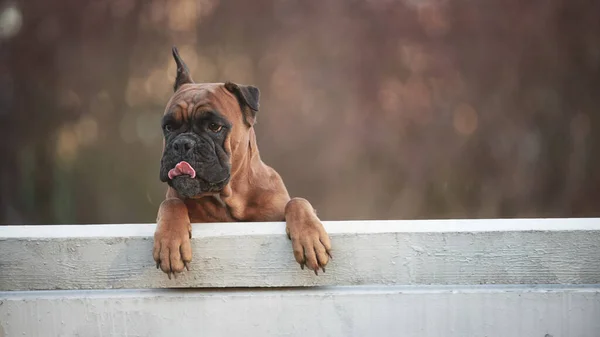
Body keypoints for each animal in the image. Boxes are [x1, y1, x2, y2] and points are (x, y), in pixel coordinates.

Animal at [152, 47, 332, 278]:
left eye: (214, 126)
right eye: (169, 127)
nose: (183, 143)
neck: (230, 198)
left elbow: (298, 202)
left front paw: (311, 237)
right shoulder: (174, 199)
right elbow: (171, 204)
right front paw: (169, 243)